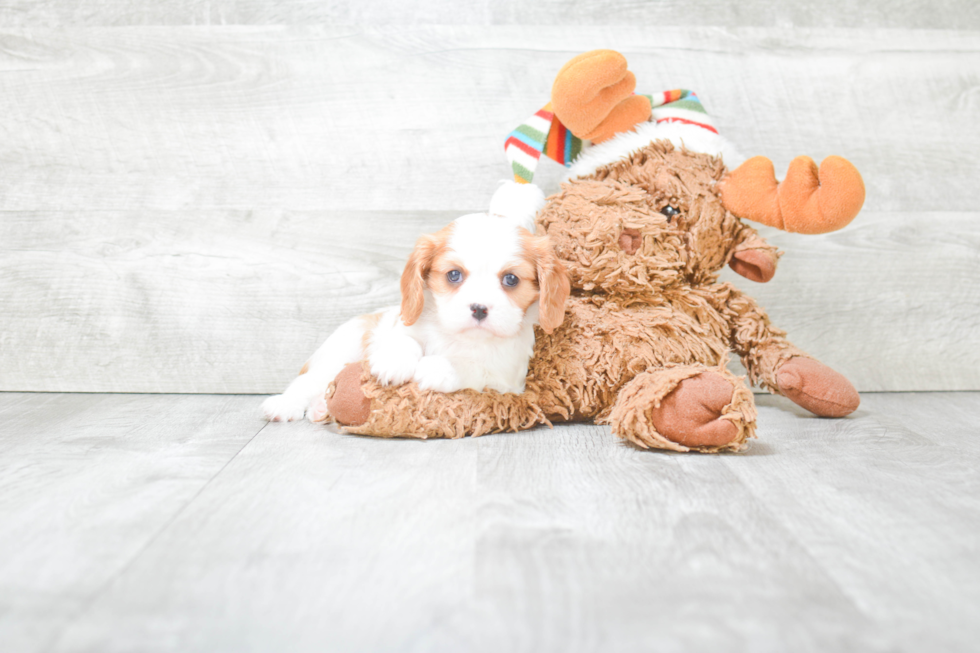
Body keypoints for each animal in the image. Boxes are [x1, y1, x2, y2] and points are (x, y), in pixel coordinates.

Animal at [260, 181, 572, 420]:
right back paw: (284, 405)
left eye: (511, 280)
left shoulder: (505, 378)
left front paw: (437, 367)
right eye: (454, 275)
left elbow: (471, 366)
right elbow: (404, 340)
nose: (479, 308)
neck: (458, 336)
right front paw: (393, 361)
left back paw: (321, 409)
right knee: (308, 381)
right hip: (340, 352)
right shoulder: (400, 326)